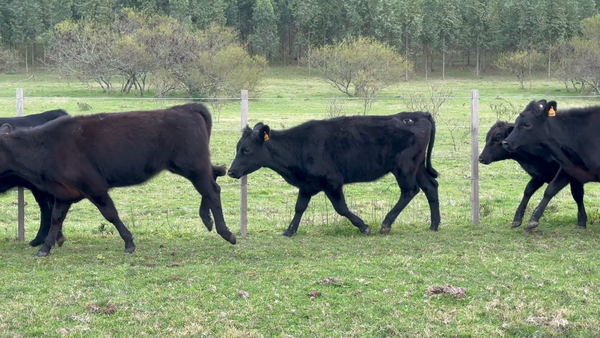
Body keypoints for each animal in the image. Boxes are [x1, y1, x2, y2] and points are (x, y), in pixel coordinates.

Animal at [227, 112, 438, 236]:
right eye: (238, 147)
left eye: (246, 149)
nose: (231, 171)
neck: (299, 146)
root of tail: (417, 114)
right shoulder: (307, 185)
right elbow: (299, 207)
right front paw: (289, 231)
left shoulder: (333, 182)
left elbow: (341, 208)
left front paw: (363, 226)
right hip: (417, 167)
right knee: (430, 187)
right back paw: (434, 225)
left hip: (404, 167)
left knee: (410, 190)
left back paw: (386, 224)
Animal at [504, 101, 596, 230]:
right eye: (516, 123)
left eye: (527, 124)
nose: (505, 142)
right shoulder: (568, 169)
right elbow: (550, 190)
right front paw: (532, 219)